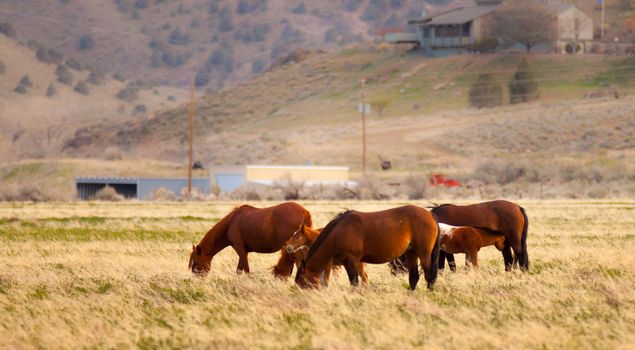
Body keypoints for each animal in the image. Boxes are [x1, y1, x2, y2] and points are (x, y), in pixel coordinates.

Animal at [296, 206, 440, 292]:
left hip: (424, 253)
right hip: (411, 253)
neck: (340, 231)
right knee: (414, 276)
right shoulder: (346, 262)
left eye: (303, 282)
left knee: (429, 275)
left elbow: (354, 282)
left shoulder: (353, 260)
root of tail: (431, 215)